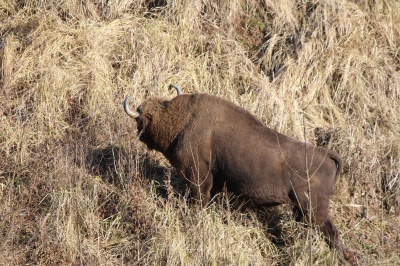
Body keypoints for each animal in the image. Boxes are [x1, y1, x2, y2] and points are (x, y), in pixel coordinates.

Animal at [124, 86, 346, 255]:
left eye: (140, 119)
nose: (139, 134)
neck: (181, 119)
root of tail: (326, 156)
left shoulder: (199, 178)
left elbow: (199, 201)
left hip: (313, 210)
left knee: (332, 235)